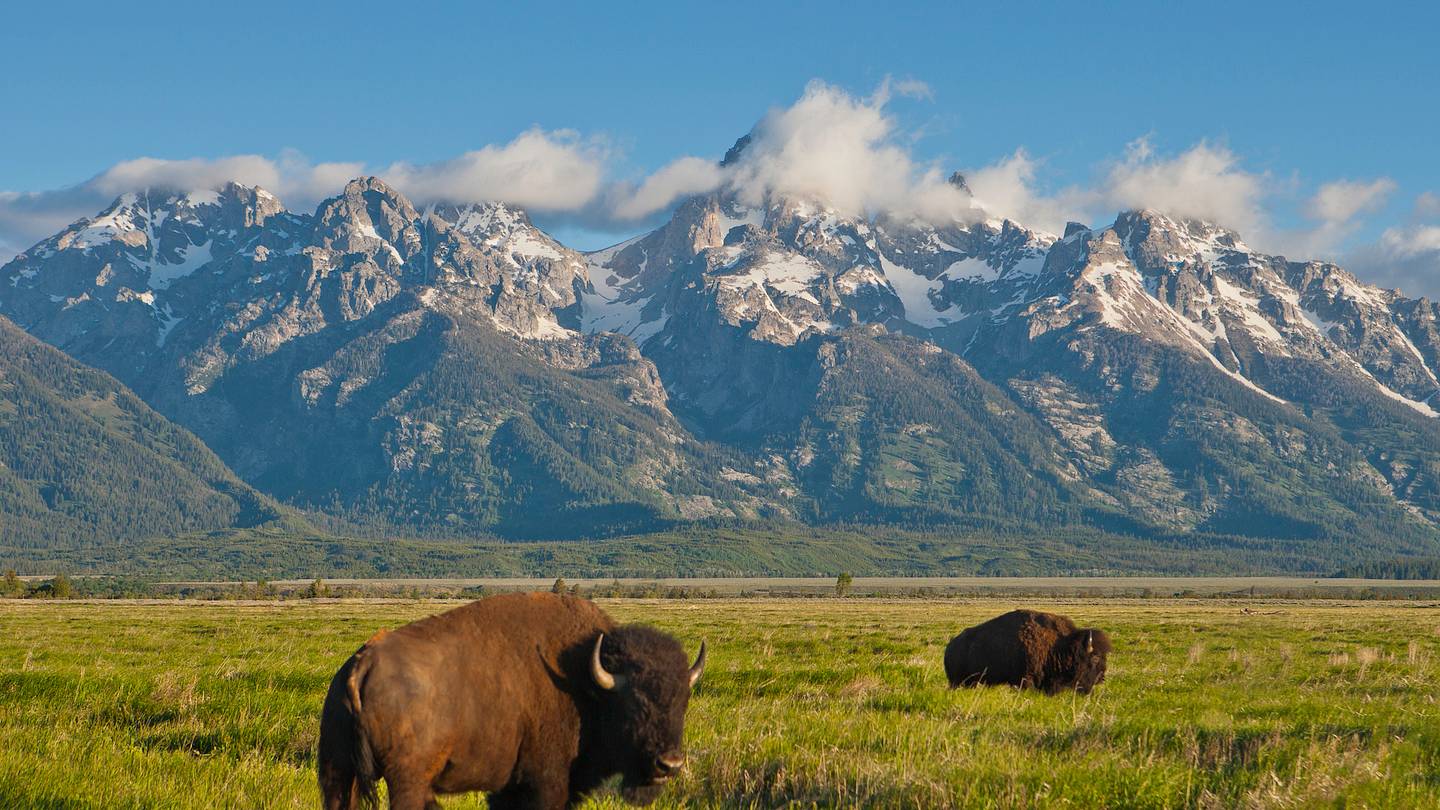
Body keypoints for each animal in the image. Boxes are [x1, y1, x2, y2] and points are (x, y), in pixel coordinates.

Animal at [318, 592, 706, 810]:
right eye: (635, 703)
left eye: (683, 700)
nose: (669, 764)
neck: (586, 681)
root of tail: (362, 663)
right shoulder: (547, 785)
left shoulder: (509, 788)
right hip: (407, 779)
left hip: (338, 772)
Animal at [944, 609, 1110, 694]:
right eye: (1095, 658)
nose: (1101, 678)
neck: (1060, 645)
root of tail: (950, 646)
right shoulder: (1025, 680)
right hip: (957, 682)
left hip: (970, 682)